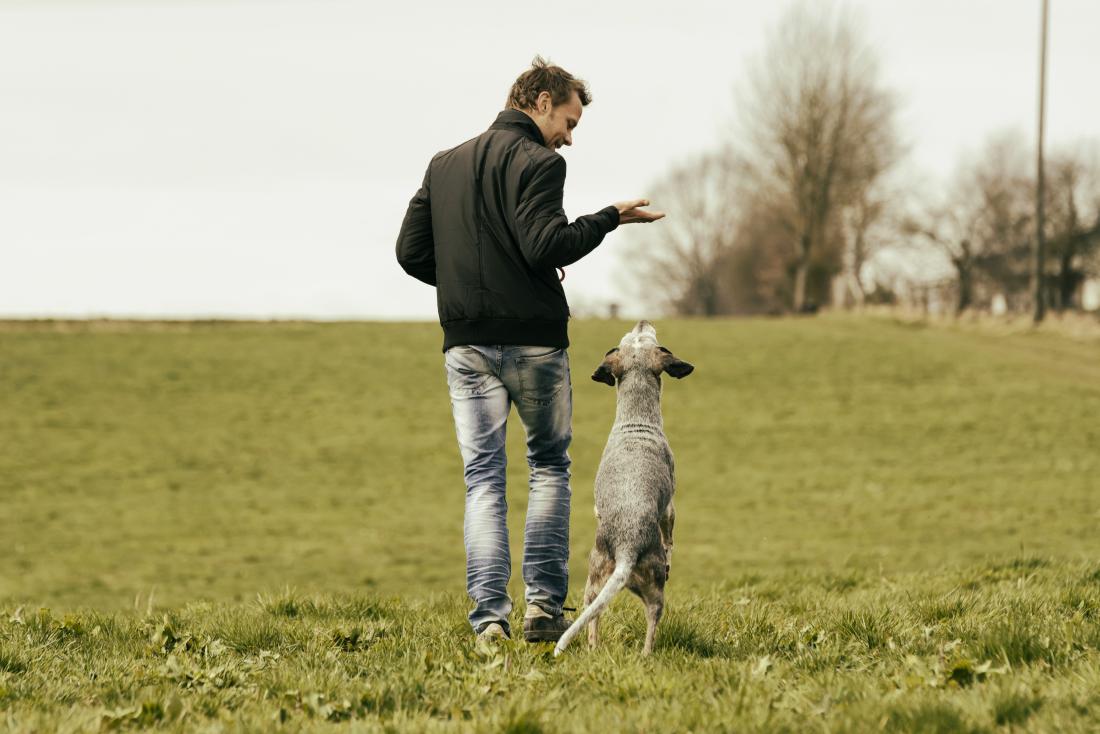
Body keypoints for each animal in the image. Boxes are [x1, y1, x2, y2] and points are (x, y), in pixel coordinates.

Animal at [554, 319, 690, 655]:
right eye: (643, 336)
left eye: (631, 338)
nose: (642, 321)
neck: (636, 419)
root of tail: (627, 550)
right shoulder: (669, 508)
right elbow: (670, 534)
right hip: (654, 588)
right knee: (652, 619)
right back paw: (647, 654)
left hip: (595, 578)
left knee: (592, 616)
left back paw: (593, 648)